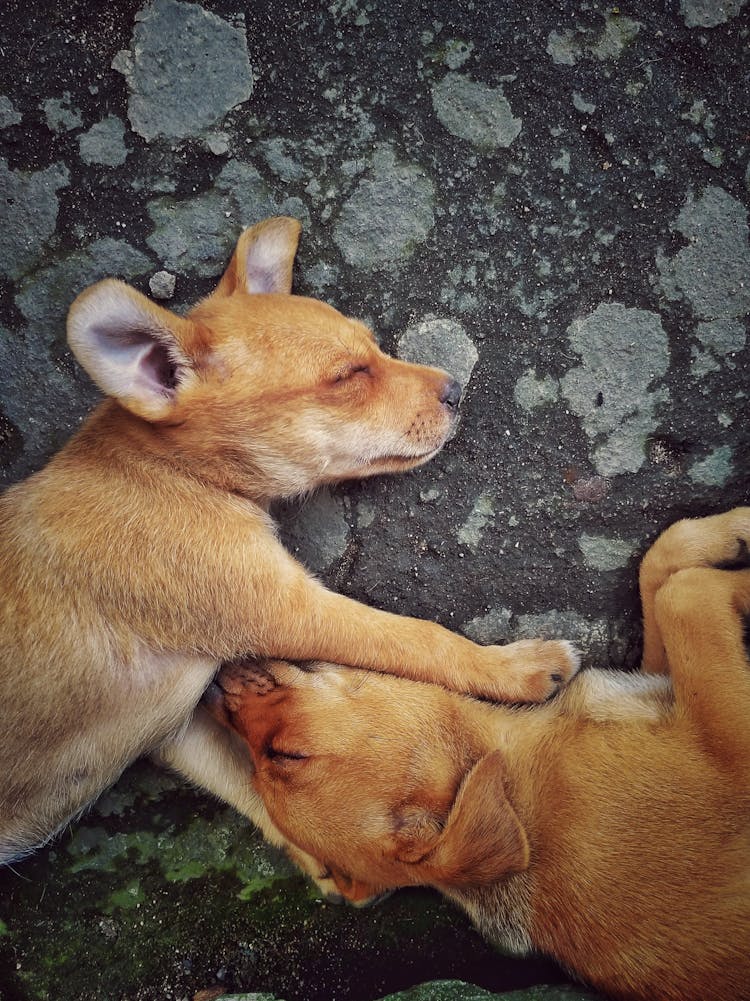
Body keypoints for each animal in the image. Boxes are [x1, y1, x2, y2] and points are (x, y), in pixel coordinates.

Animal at [0, 217, 580, 860]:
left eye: (372, 347)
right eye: (347, 377)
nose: (458, 390)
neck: (176, 473)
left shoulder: (176, 726)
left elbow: (269, 805)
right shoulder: (288, 609)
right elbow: (420, 640)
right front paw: (518, 668)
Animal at [205, 508, 748, 1001]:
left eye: (282, 755)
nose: (211, 690)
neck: (510, 769)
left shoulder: (652, 683)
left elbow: (662, 564)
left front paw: (731, 533)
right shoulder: (726, 740)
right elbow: (684, 594)